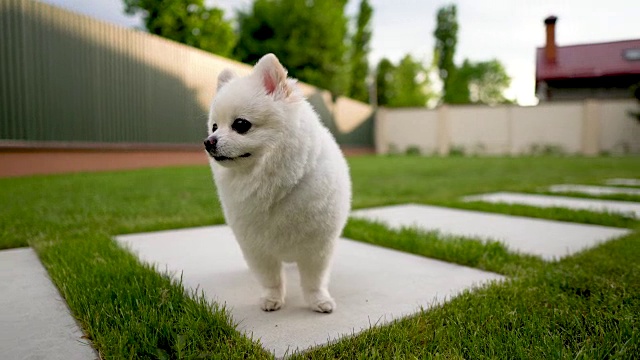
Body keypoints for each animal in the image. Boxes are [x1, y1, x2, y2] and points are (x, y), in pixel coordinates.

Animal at [205, 52, 352, 312]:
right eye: (214, 126)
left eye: (240, 124)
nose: (209, 141)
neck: (275, 184)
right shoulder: (257, 248)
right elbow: (270, 278)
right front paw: (272, 299)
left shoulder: (318, 247)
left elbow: (314, 279)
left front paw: (319, 300)